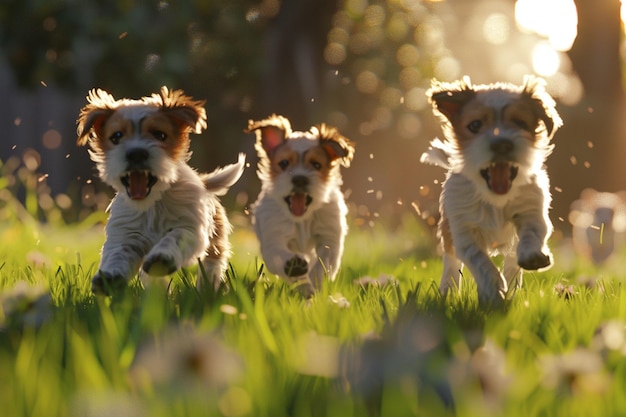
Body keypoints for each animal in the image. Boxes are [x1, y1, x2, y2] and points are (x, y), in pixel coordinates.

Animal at [75, 86, 244, 294]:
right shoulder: (127, 234)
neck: (154, 203)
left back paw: (207, 290)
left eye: (159, 135)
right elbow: (119, 254)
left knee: (212, 264)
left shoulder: (190, 227)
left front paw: (162, 258)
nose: (136, 153)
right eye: (117, 136)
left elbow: (174, 237)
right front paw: (110, 277)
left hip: (215, 241)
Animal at [247, 114, 356, 296]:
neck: (302, 219)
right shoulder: (274, 238)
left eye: (316, 164)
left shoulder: (328, 237)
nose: (299, 179)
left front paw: (316, 282)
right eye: (284, 163)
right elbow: (280, 256)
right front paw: (298, 275)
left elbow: (323, 263)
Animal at [420, 74, 560, 302]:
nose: (502, 143)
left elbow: (531, 233)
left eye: (520, 123)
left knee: (512, 261)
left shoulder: (531, 210)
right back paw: (449, 291)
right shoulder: (464, 231)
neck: (496, 199)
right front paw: (493, 289)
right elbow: (480, 262)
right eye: (475, 125)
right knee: (451, 263)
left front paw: (531, 256)